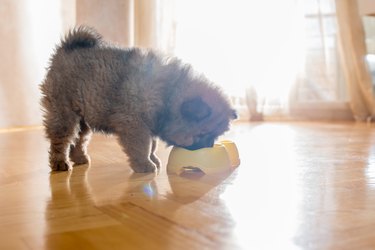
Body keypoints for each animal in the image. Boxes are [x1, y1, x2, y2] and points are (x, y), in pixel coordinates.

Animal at [41, 26, 238, 173]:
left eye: (215, 135)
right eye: (203, 134)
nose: (210, 145)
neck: (169, 94)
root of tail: (65, 49)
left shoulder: (149, 124)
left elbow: (152, 145)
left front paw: (153, 159)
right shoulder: (135, 125)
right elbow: (142, 146)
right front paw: (144, 165)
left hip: (83, 117)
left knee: (79, 139)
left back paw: (80, 158)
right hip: (64, 113)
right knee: (61, 139)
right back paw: (60, 163)